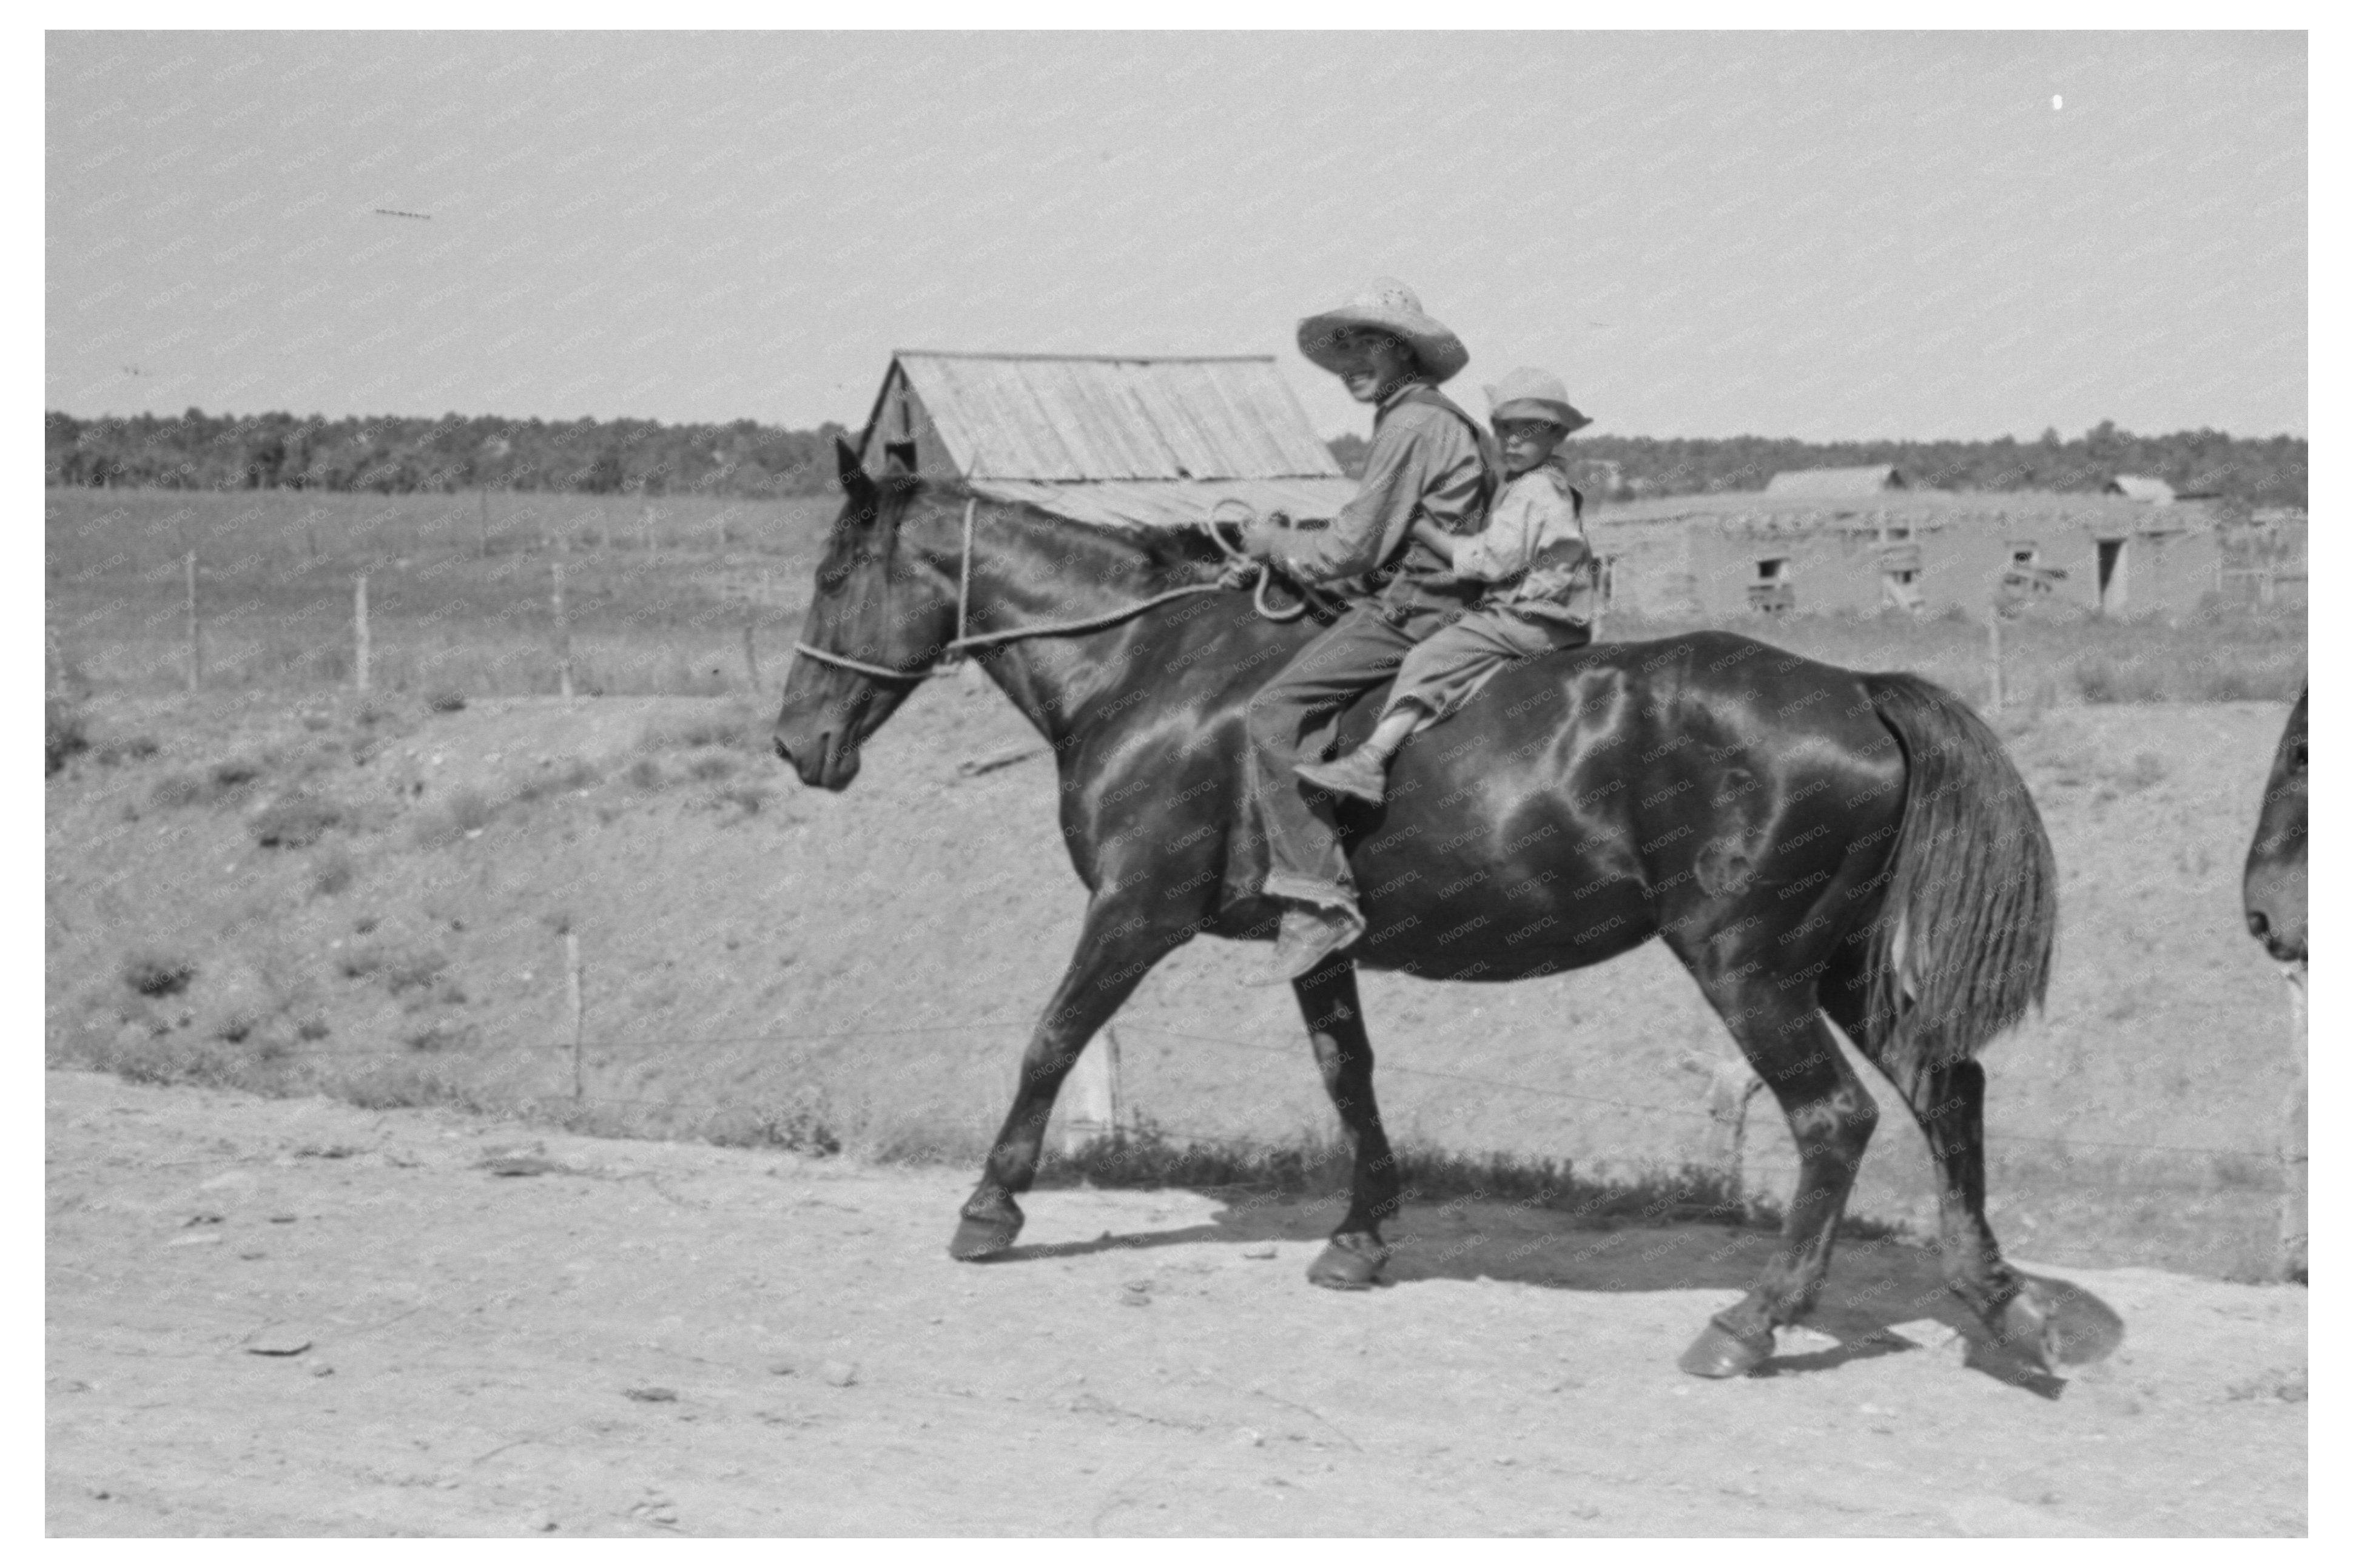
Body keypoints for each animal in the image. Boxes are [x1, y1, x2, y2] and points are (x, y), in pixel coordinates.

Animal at [776, 445, 2080, 1375]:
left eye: (834, 575)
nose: (796, 744)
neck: (1149, 669)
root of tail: (1856, 690)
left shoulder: (1132, 910)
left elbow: (1050, 1039)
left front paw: (988, 1208)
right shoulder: (1311, 936)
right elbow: (1345, 1075)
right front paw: (1359, 1236)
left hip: (1749, 967)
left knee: (1833, 1121)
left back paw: (1751, 1323)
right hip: (1836, 967)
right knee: (1945, 1089)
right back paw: (1999, 1307)